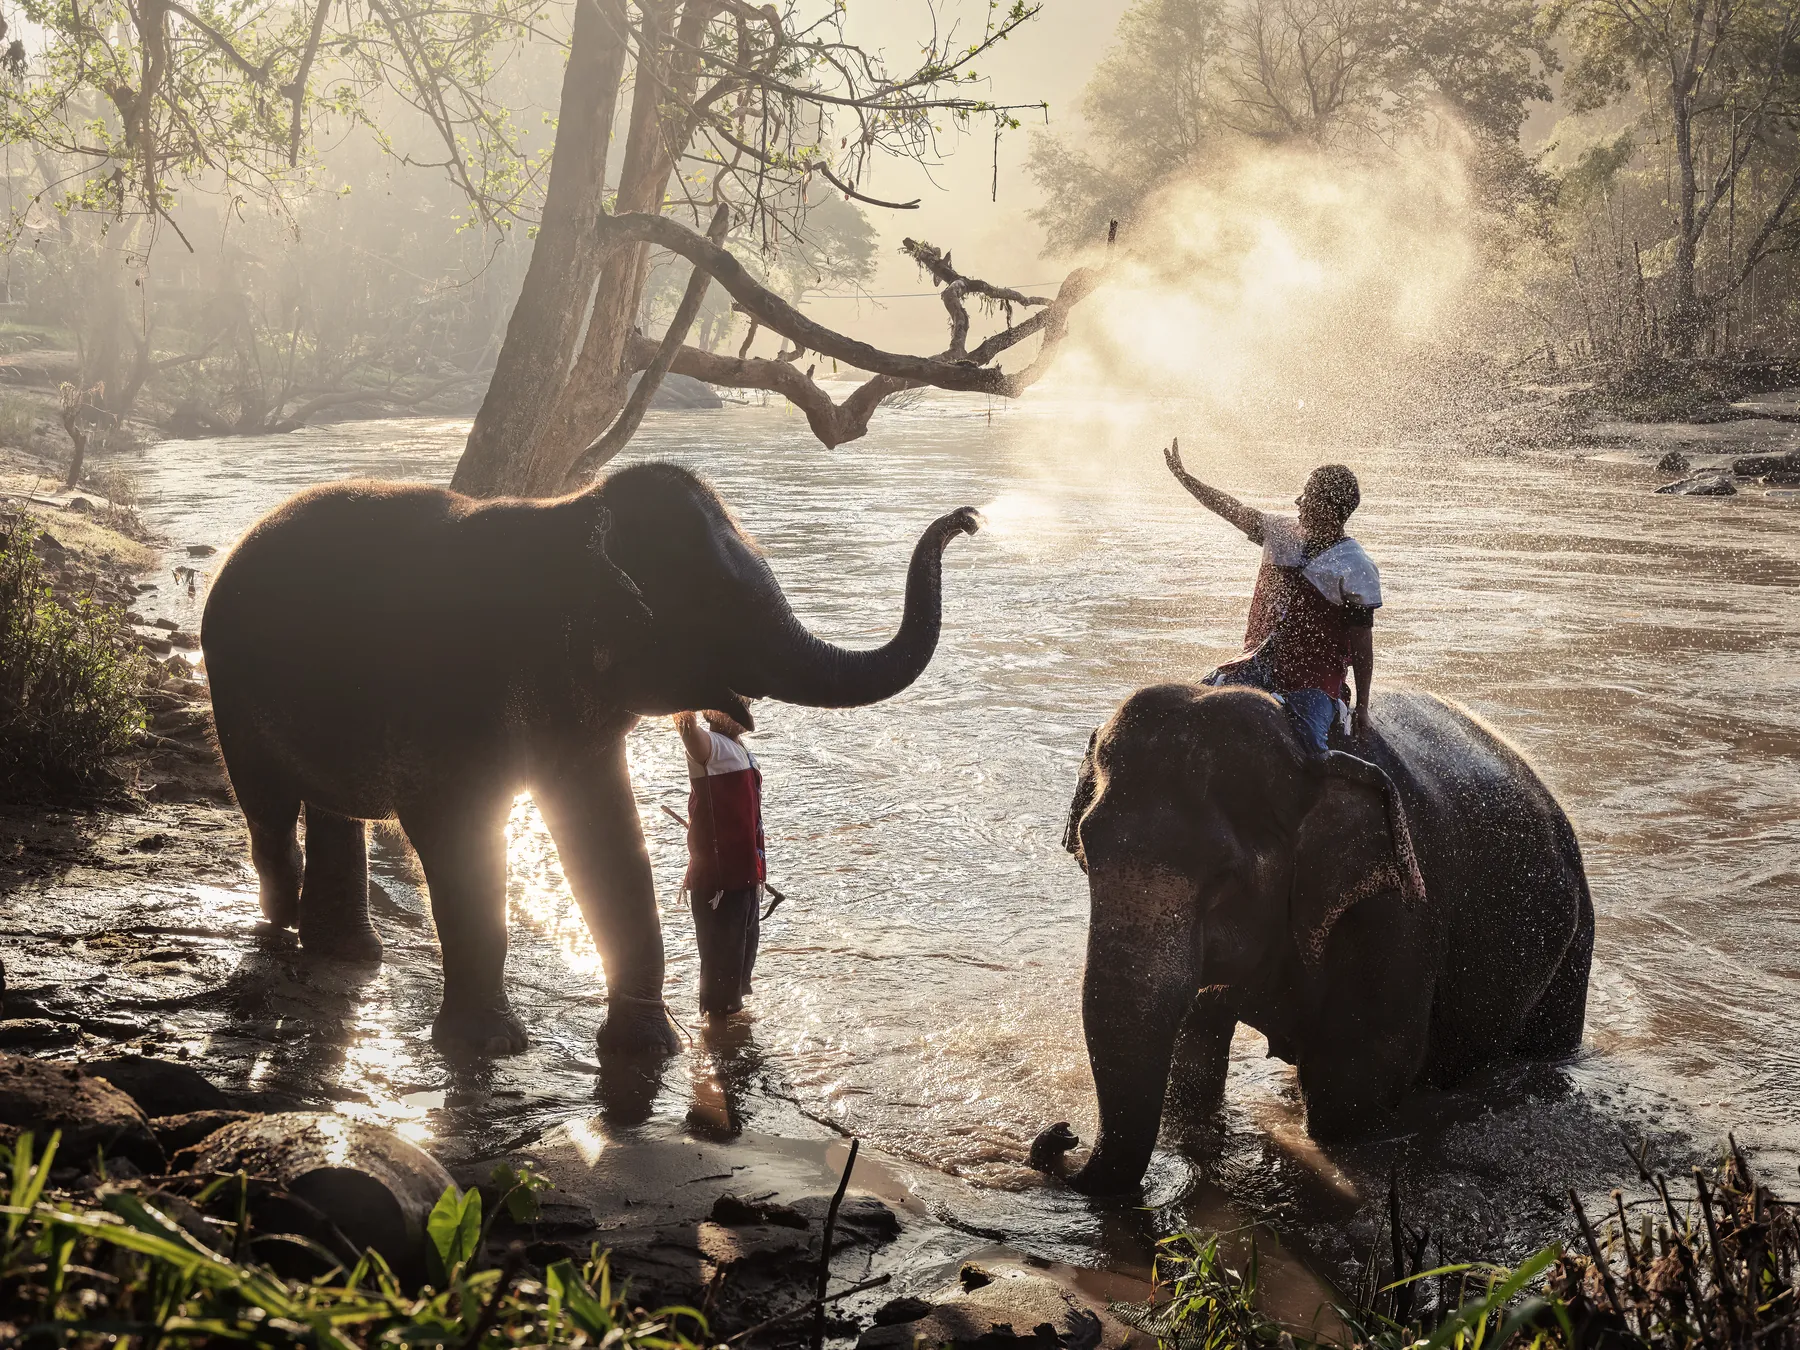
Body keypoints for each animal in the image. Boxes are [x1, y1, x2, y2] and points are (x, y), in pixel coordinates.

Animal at [200, 461, 980, 1056]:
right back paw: (283, 933)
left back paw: (350, 953)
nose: (969, 518)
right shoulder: (445, 695)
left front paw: (649, 1048)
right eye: (715, 601)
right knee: (270, 813)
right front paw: (491, 1046)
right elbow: (456, 836)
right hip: (230, 691)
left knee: (334, 812)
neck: (571, 515)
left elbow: (608, 833)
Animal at [1033, 684, 1593, 1195]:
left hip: (1575, 943)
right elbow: (1193, 1050)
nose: (1063, 1134)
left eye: (1226, 876)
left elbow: (1354, 1080)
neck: (1309, 754)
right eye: (1086, 851)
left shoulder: (1398, 915)